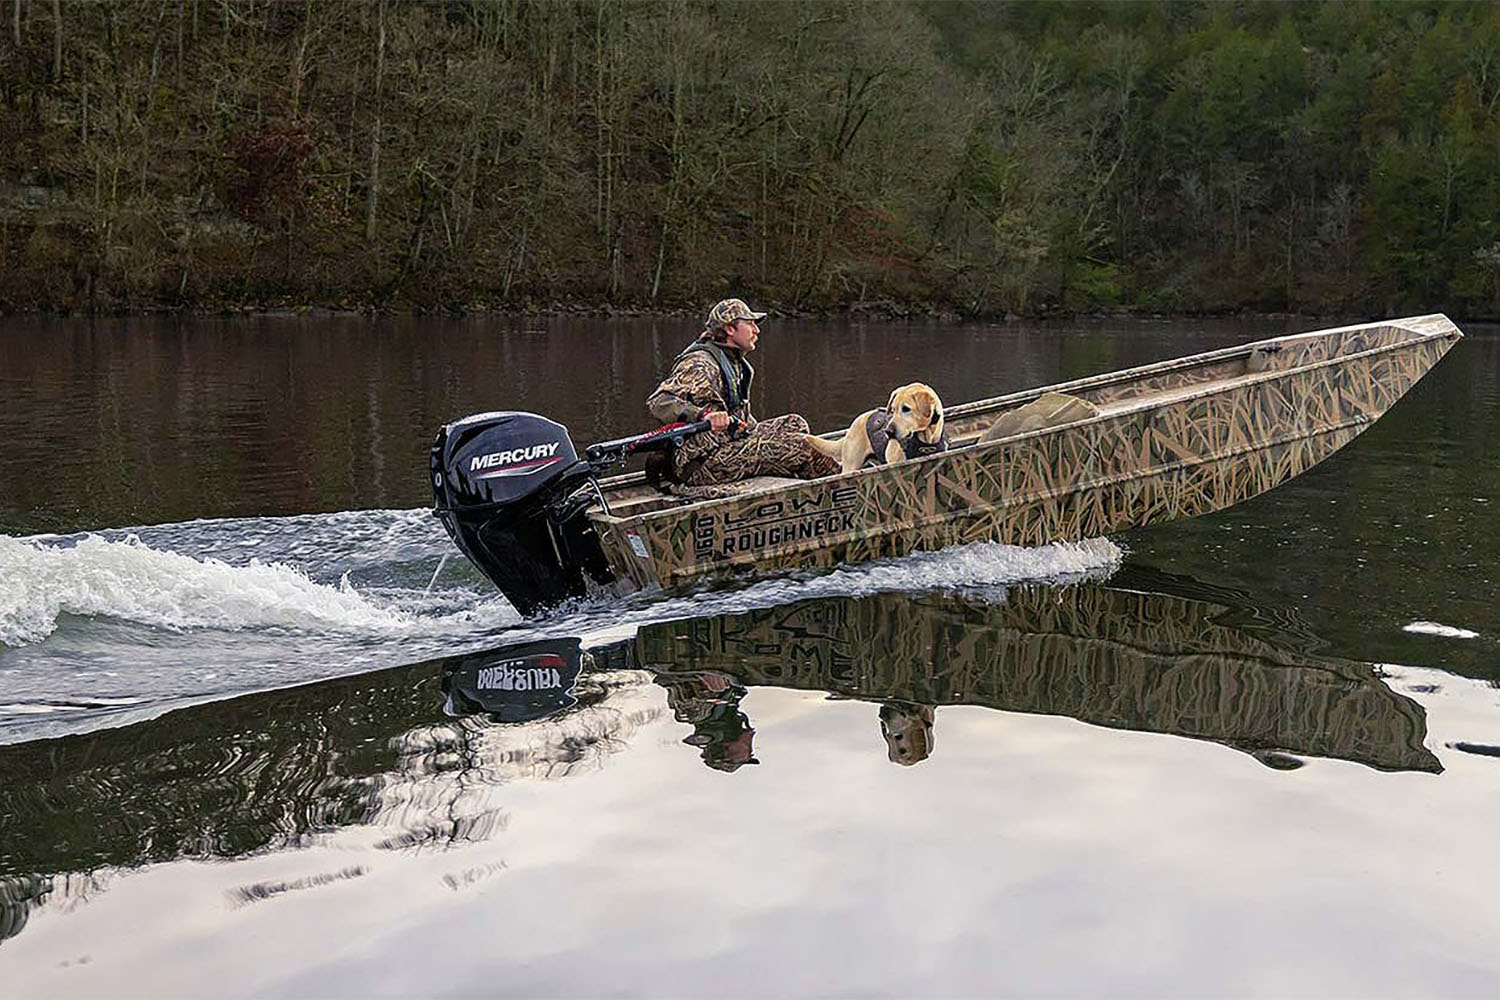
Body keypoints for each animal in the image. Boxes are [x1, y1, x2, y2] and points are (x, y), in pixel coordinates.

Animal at [810, 386, 948, 476]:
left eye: (906, 409)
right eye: (893, 409)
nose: (888, 431)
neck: (925, 442)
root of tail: (853, 426)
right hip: (851, 466)